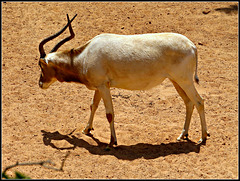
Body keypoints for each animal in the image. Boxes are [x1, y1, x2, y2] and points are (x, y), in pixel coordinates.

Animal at [38, 14, 209, 150]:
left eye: (40, 65)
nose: (41, 84)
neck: (84, 56)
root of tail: (192, 46)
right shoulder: (100, 86)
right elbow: (93, 105)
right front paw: (87, 130)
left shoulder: (103, 87)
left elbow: (109, 114)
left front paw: (111, 142)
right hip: (176, 81)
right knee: (188, 102)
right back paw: (183, 135)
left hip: (184, 80)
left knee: (199, 101)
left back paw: (203, 137)